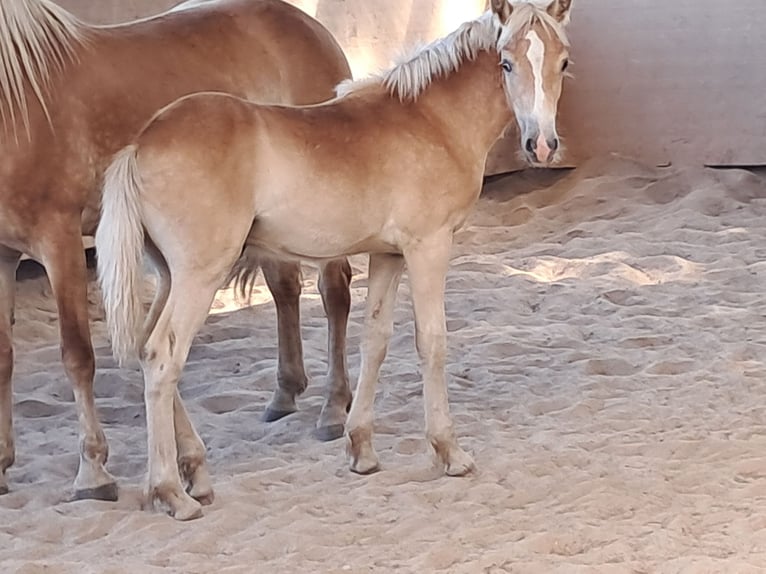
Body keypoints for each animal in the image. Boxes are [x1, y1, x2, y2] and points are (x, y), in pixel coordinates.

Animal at [0, 0, 354, 504]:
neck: (20, 99)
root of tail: (304, 22)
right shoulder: (4, 256)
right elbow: (5, 359)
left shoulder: (59, 240)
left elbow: (78, 355)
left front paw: (94, 472)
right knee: (285, 289)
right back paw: (285, 393)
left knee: (334, 294)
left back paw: (333, 408)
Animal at [96, 0, 572, 520]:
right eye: (506, 63)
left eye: (563, 63)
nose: (541, 145)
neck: (430, 119)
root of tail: (140, 144)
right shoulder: (428, 247)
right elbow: (431, 342)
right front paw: (450, 451)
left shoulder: (387, 255)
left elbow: (375, 340)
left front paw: (361, 449)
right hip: (199, 277)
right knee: (164, 357)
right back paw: (171, 493)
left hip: (169, 276)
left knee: (146, 349)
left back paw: (194, 476)